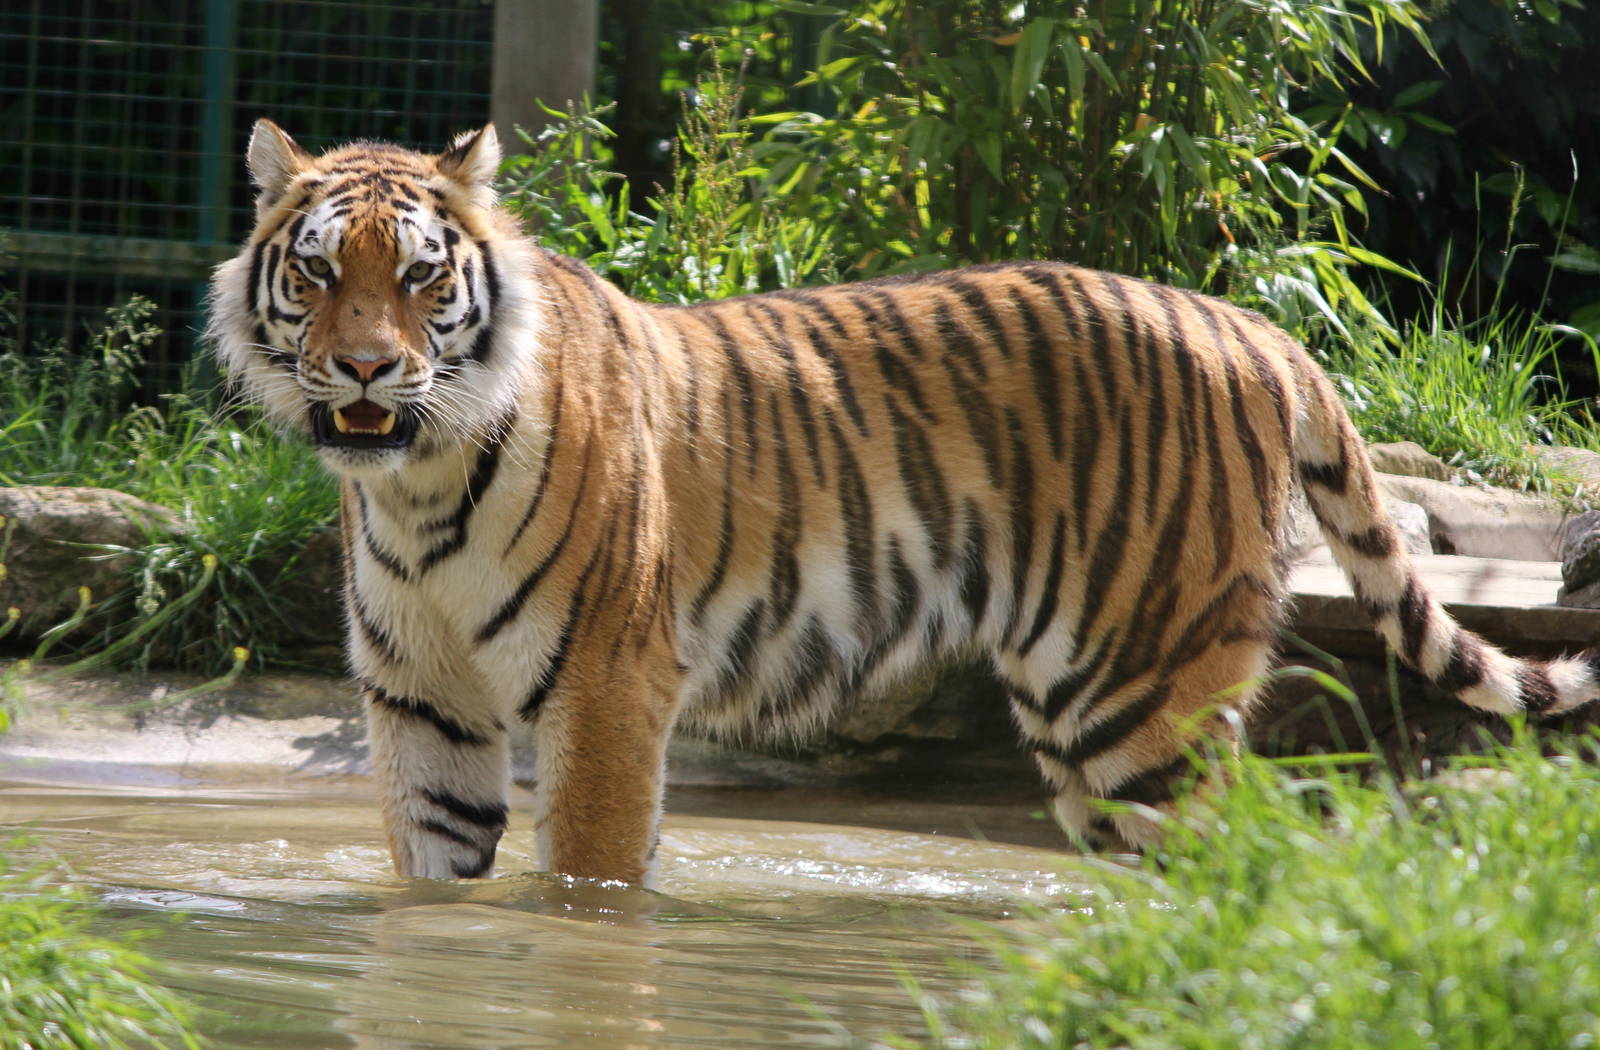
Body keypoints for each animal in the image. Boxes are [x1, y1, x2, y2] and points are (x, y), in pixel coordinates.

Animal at [207, 119, 1600, 886]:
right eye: (319, 272)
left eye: (421, 278)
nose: (366, 368)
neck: (419, 482)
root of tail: (1252, 324)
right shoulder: (422, 704)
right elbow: (429, 886)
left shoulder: (607, 688)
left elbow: (586, 890)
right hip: (1088, 710)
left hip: (1143, 691)